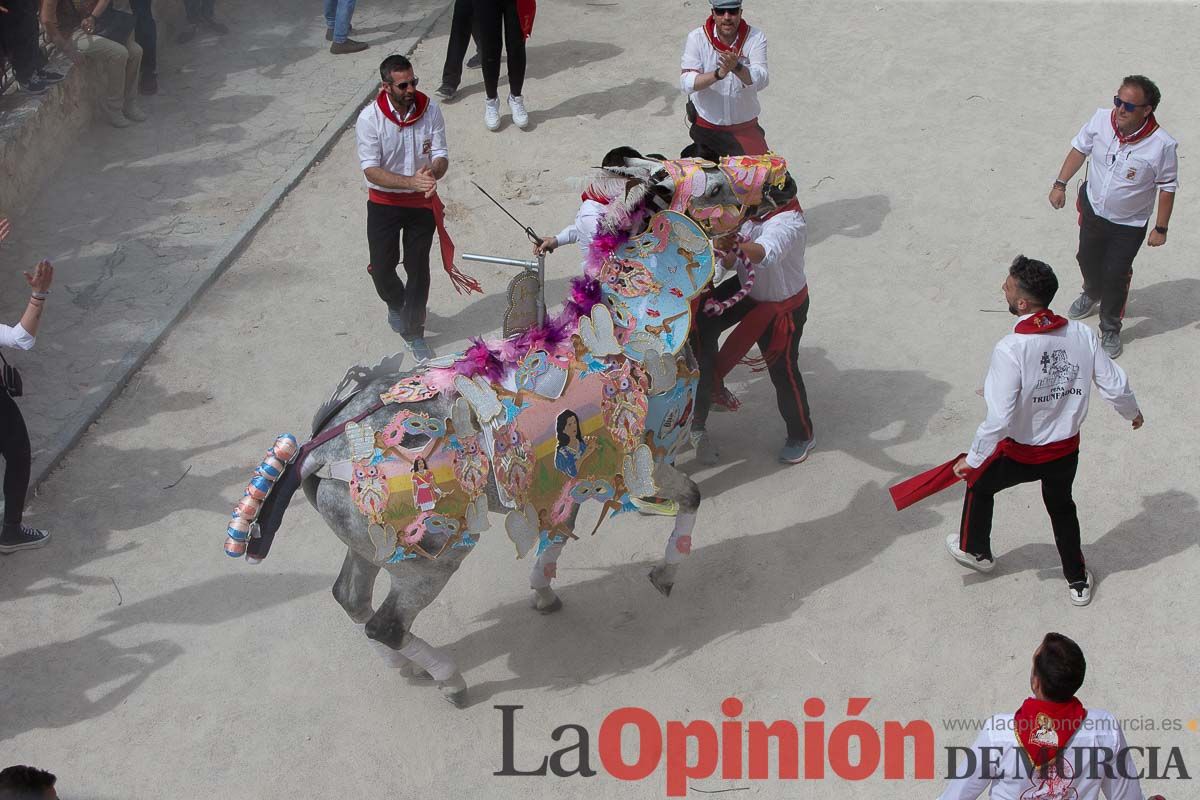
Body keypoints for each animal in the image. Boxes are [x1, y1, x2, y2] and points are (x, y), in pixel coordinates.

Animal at [224, 153, 792, 705]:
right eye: (714, 187)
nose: (774, 191)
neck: (625, 329)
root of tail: (319, 450)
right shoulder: (647, 459)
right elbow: (692, 497)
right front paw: (665, 575)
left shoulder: (574, 475)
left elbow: (558, 535)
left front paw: (543, 592)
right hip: (428, 559)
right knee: (385, 624)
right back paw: (449, 680)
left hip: (369, 549)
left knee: (351, 600)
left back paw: (407, 668)